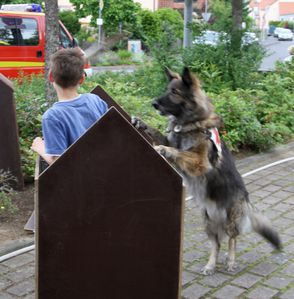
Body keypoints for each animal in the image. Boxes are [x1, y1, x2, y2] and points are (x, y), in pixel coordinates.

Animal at [133, 68, 280, 276]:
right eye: (167, 89)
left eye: (174, 92)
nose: (154, 103)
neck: (189, 124)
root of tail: (246, 200)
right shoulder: (173, 139)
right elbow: (160, 135)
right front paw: (141, 123)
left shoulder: (199, 162)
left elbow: (179, 151)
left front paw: (163, 149)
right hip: (208, 223)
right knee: (216, 244)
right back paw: (211, 265)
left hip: (231, 219)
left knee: (232, 240)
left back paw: (231, 261)